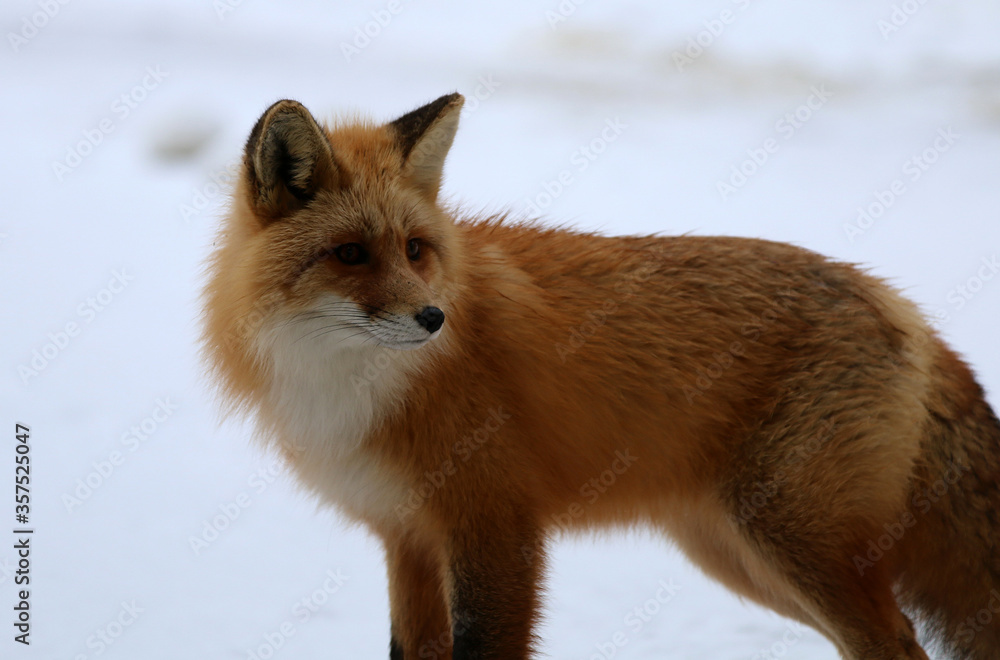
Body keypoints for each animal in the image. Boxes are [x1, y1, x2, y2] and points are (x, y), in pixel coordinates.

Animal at [202, 92, 1000, 659]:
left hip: (792, 543)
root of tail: (894, 298)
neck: (356, 387)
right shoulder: (407, 536)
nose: (433, 318)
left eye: (415, 248)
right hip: (742, 556)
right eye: (350, 254)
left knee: (897, 643)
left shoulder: (496, 528)